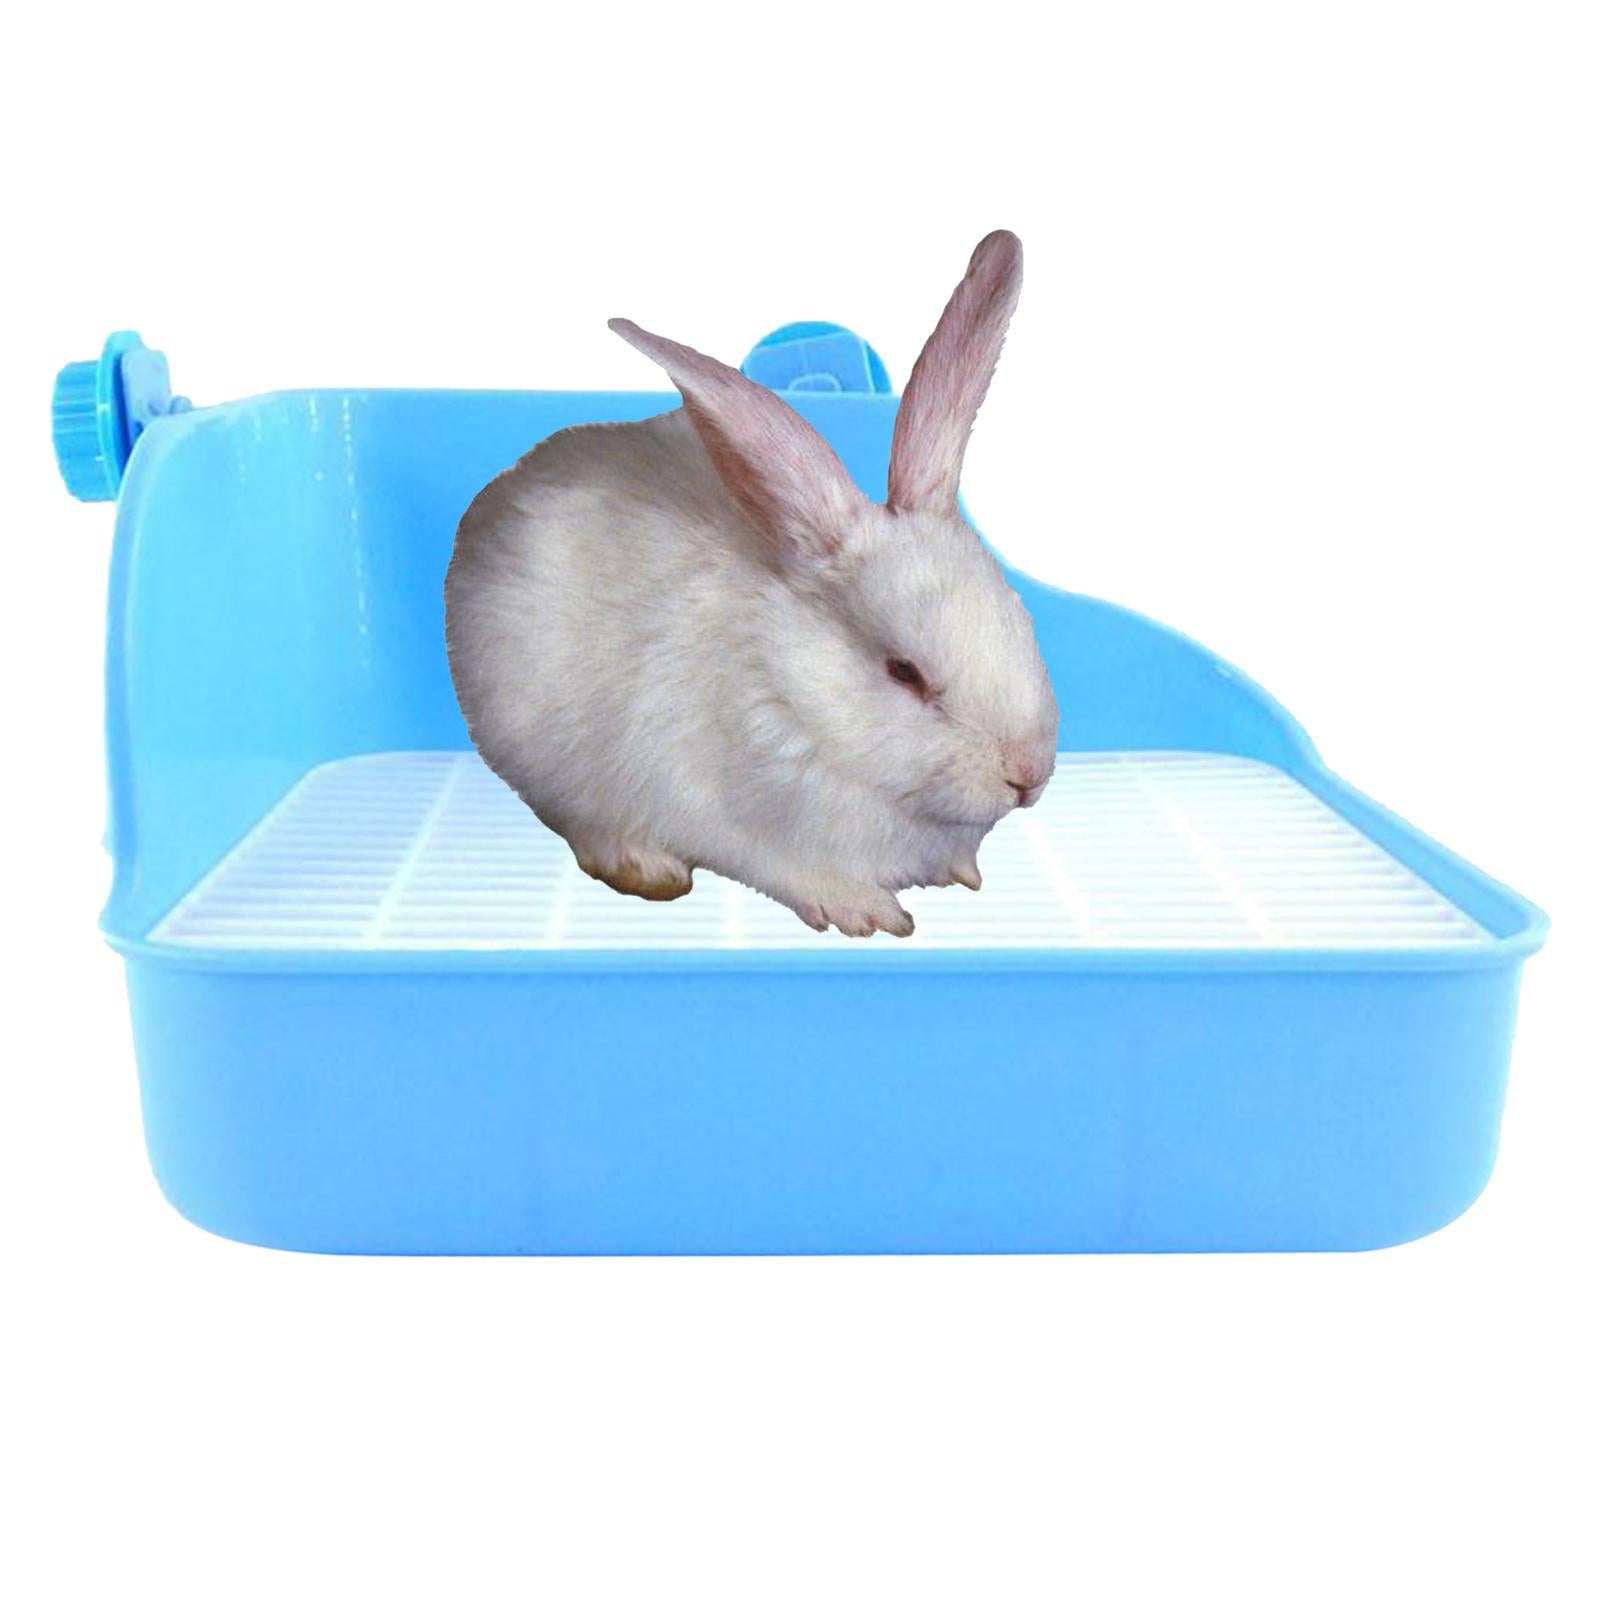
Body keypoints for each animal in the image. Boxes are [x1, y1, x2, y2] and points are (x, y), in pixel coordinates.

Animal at [445, 230, 1058, 937]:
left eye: (1021, 620)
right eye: (903, 671)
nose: (1028, 774)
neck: (794, 690)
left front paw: (961, 872)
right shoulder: (727, 815)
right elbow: (784, 866)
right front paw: (865, 912)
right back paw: (643, 865)